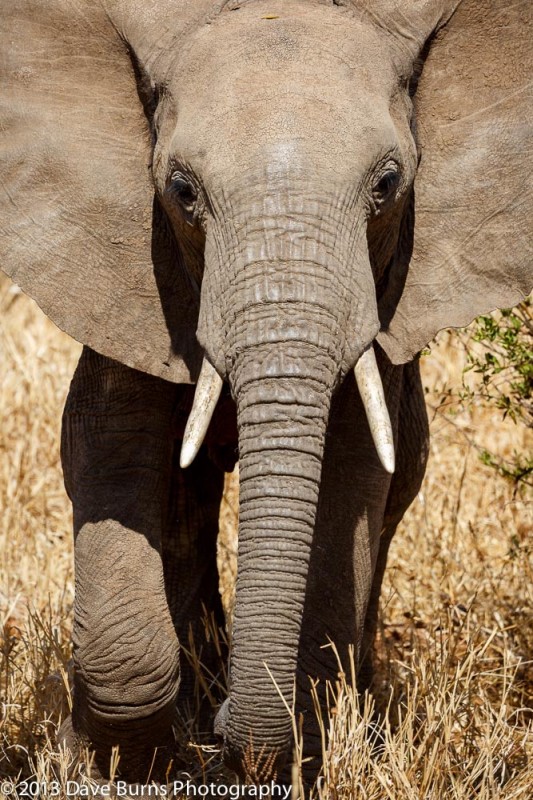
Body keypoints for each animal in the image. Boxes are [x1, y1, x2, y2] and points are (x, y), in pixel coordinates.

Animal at [0, 0, 528, 788]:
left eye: (387, 184)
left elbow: (350, 479)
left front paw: (293, 752)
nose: (225, 736)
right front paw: (117, 763)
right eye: (182, 191)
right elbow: (109, 446)